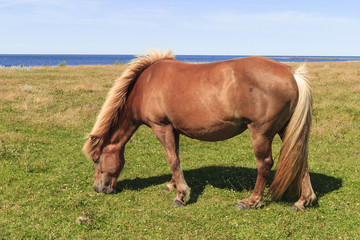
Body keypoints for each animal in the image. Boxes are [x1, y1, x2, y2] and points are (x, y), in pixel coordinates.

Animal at [83, 49, 316, 211]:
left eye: (96, 159)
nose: (99, 189)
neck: (145, 85)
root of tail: (291, 73)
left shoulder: (162, 127)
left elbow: (172, 159)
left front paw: (180, 196)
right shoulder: (173, 129)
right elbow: (175, 157)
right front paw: (172, 185)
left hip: (261, 132)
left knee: (265, 164)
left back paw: (251, 201)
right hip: (287, 130)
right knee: (300, 159)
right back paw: (302, 201)